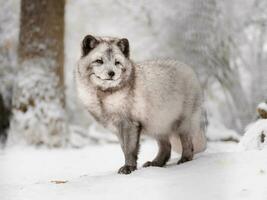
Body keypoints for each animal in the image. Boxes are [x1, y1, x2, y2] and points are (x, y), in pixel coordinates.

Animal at [76, 35, 207, 174]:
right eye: (99, 61)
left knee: (188, 145)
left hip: (182, 124)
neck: (104, 96)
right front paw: (130, 166)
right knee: (166, 148)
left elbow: (129, 149)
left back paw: (185, 159)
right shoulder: (118, 129)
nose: (112, 73)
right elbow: (124, 149)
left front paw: (128, 168)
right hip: (157, 125)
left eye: (117, 62)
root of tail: (189, 69)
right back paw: (156, 163)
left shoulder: (129, 124)